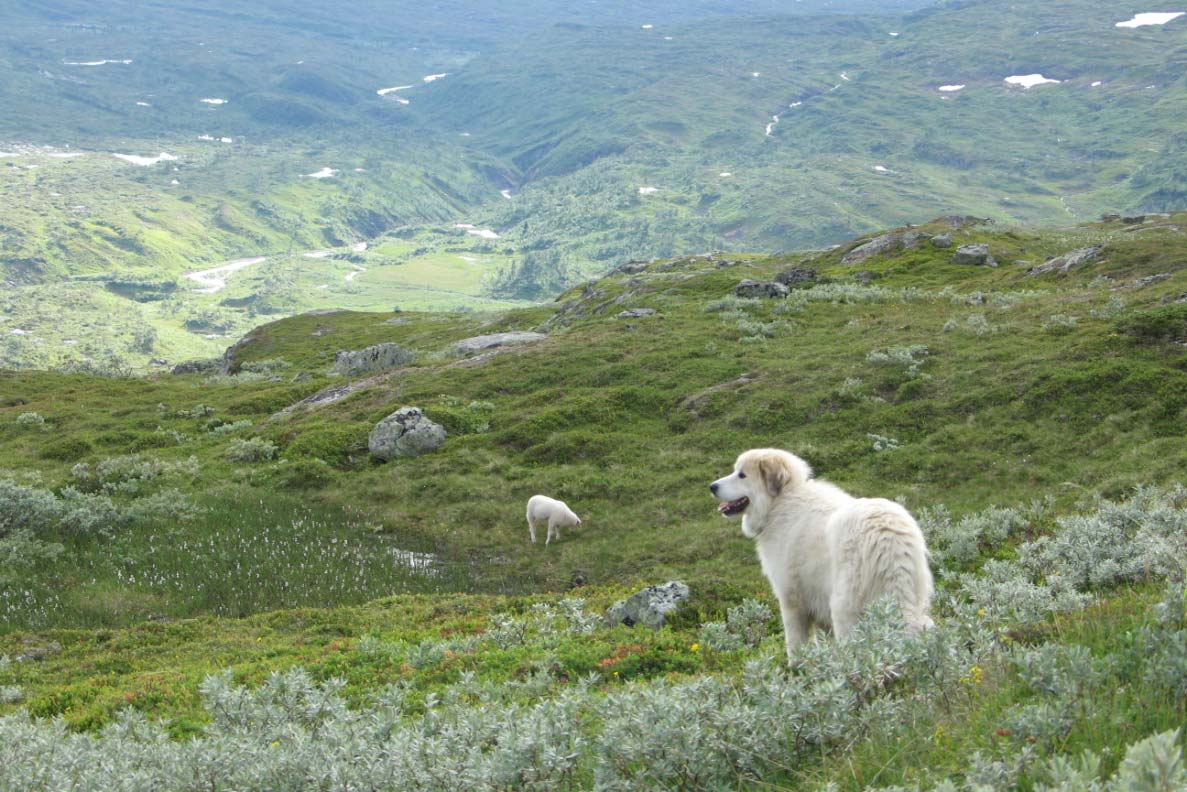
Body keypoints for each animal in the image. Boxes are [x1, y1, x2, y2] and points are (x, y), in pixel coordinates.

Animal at [707, 448, 930, 660]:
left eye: (742, 475)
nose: (712, 486)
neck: (780, 502)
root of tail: (887, 536)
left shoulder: (791, 599)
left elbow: (795, 643)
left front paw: (797, 668)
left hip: (843, 608)